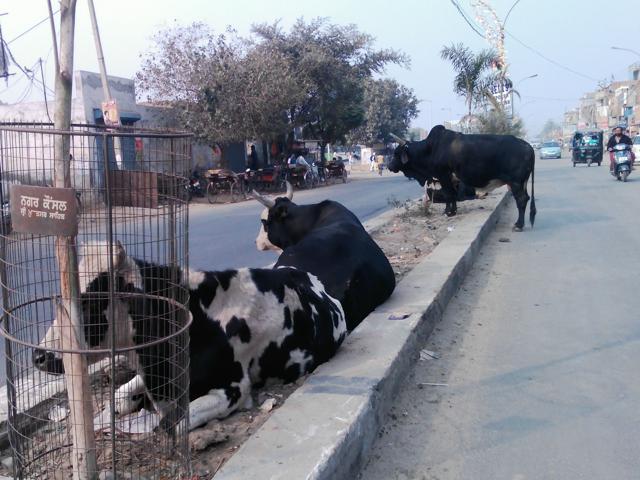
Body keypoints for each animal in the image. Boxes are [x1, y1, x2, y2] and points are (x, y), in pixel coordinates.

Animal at [389, 125, 536, 231]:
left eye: (396, 153)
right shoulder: (452, 180)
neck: (429, 149)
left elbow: (448, 195)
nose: (389, 166)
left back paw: (518, 225)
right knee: (526, 198)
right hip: (522, 182)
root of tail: (528, 146)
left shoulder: (443, 176)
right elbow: (453, 195)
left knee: (522, 199)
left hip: (516, 182)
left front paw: (448, 212)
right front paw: (453, 211)